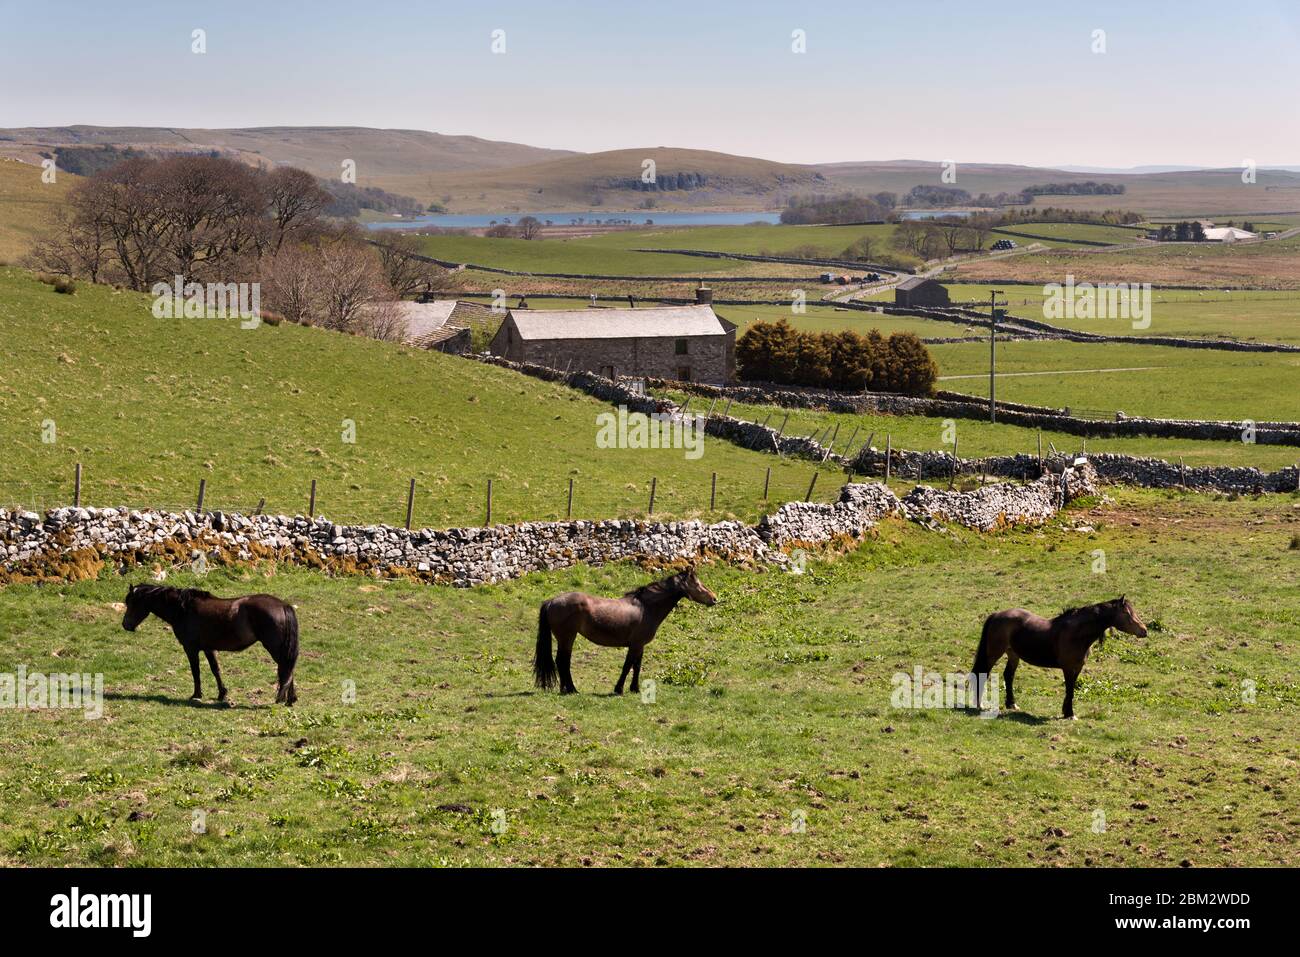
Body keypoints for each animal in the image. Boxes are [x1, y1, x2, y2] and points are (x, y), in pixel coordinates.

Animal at [122, 579, 300, 707]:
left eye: (132, 603)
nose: (125, 625)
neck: (183, 609)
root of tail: (283, 605)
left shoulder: (191, 649)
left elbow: (196, 672)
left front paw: (196, 695)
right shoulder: (208, 648)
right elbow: (215, 670)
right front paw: (222, 694)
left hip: (276, 649)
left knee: (286, 669)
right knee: (288, 670)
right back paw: (290, 700)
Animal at [530, 564, 722, 691]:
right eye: (697, 584)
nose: (714, 598)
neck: (645, 607)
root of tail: (552, 601)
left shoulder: (640, 645)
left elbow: (636, 666)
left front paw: (634, 688)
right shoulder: (635, 645)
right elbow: (627, 666)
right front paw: (619, 689)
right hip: (567, 637)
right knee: (563, 661)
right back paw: (571, 689)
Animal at [972, 595, 1144, 722]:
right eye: (1127, 613)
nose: (1144, 631)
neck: (1076, 633)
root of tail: (996, 615)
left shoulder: (1077, 668)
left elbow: (1071, 689)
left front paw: (1066, 711)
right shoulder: (1068, 668)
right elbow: (1069, 689)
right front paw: (1070, 714)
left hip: (1013, 654)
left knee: (1008, 675)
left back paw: (1012, 704)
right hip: (994, 653)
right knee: (983, 674)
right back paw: (980, 705)